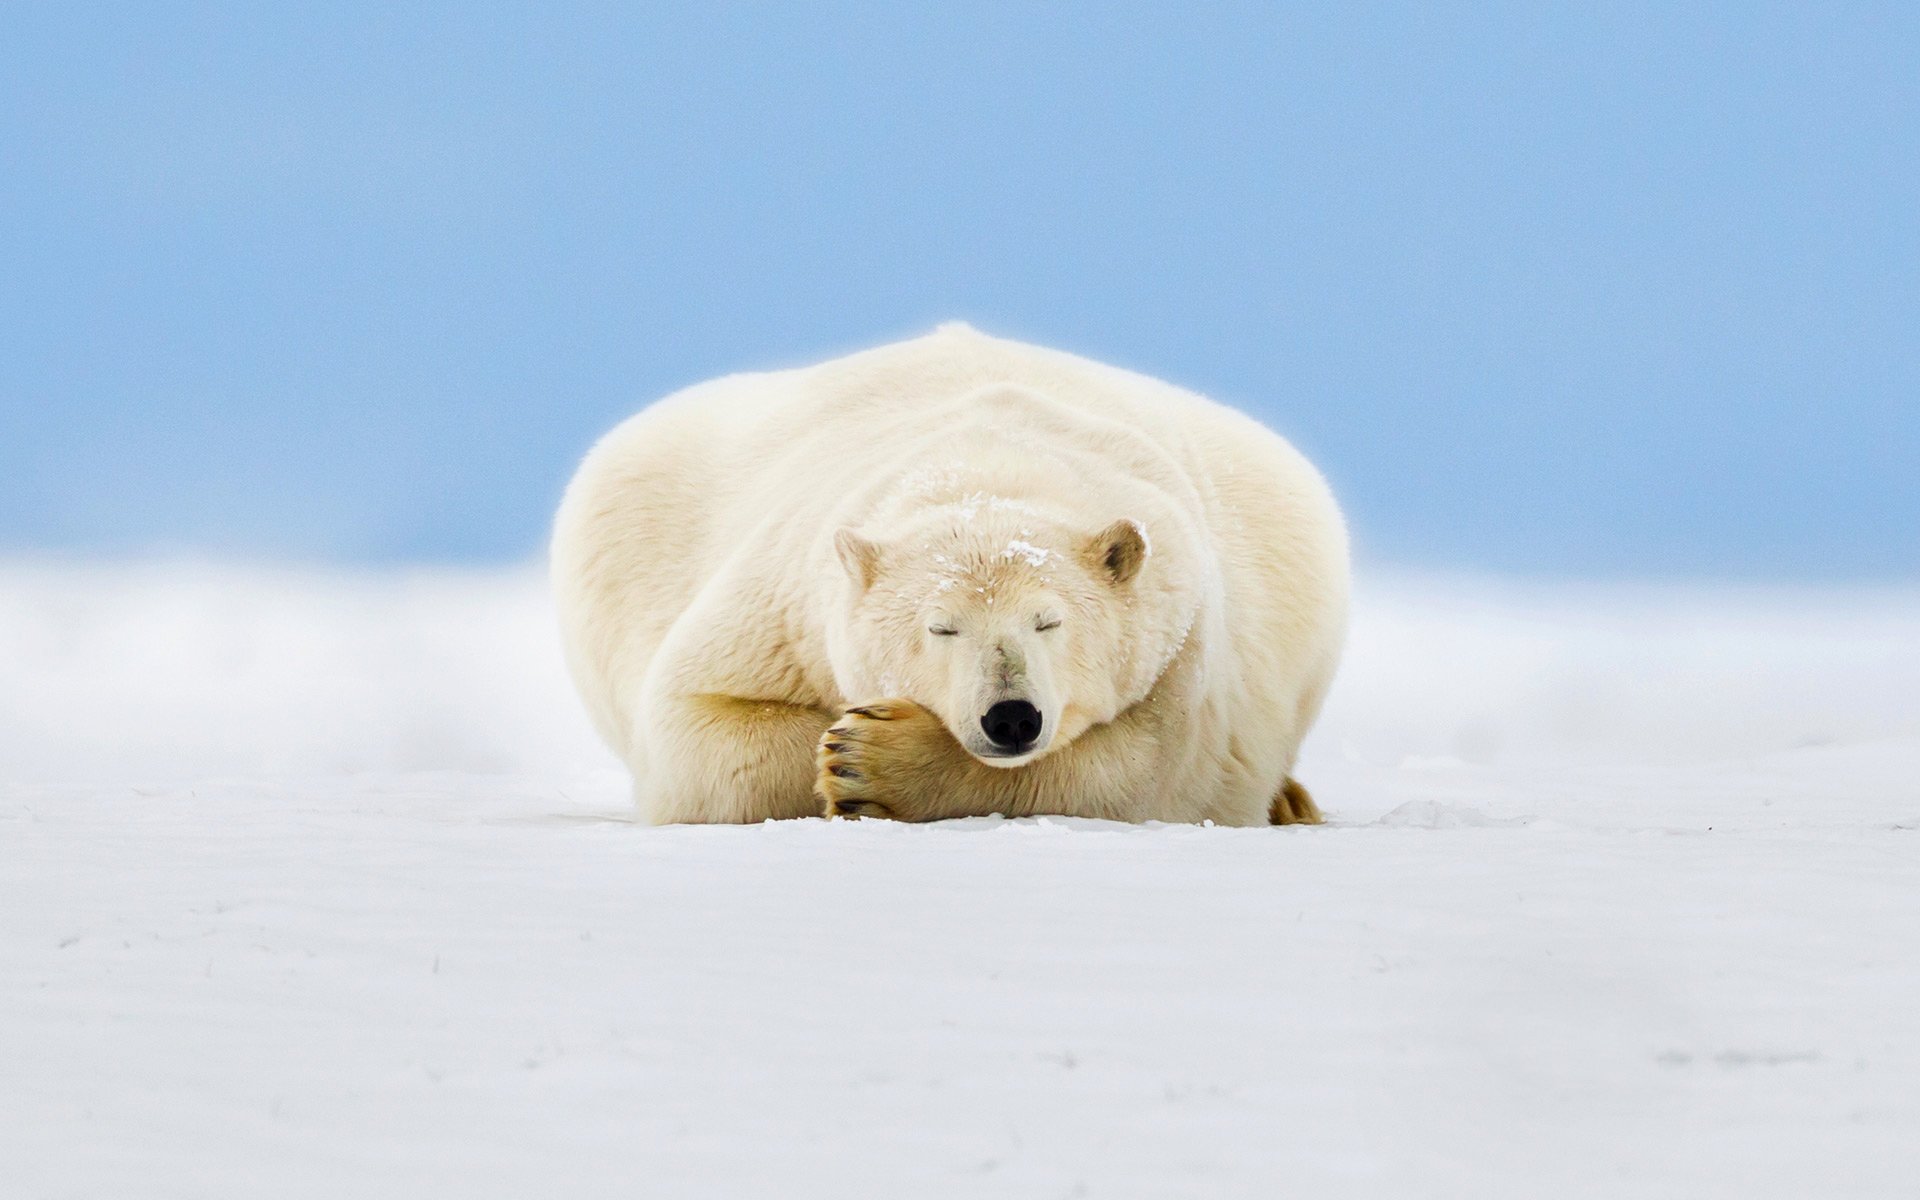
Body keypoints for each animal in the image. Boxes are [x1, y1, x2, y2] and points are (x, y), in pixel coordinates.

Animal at [549, 320, 1344, 821]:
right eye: (941, 628)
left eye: (1050, 622)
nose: (1011, 716)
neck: (990, 459)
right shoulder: (782, 607)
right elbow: (697, 729)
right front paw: (841, 747)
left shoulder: (1183, 637)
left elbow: (1147, 771)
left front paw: (874, 760)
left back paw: (1291, 801)